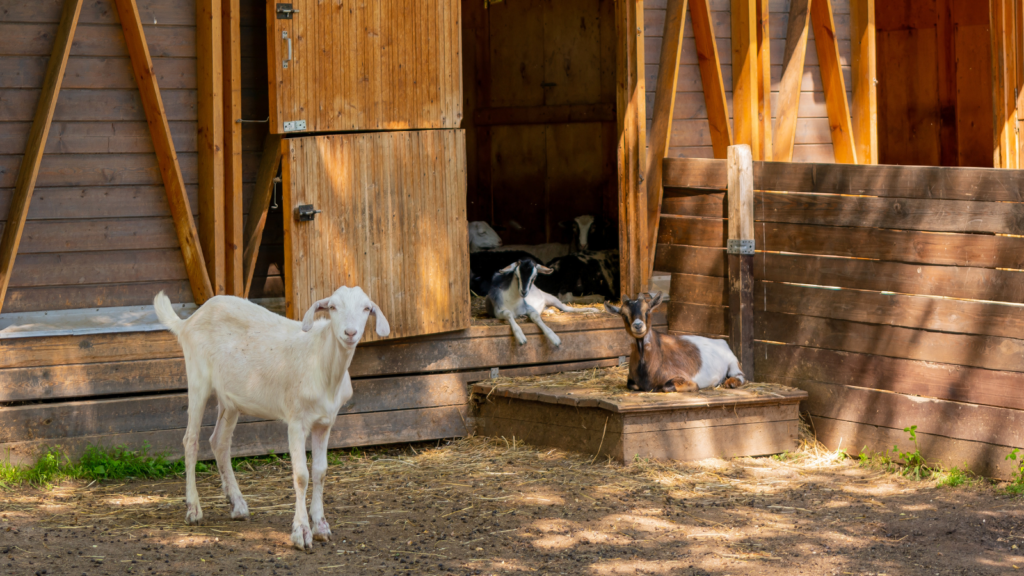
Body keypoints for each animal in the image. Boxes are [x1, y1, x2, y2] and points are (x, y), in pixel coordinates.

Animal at [151, 284, 387, 549]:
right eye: (333, 307)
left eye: (366, 308)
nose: (350, 332)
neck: (322, 361)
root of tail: (188, 321)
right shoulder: (296, 421)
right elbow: (301, 475)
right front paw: (301, 532)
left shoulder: (325, 423)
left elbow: (320, 471)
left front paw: (321, 526)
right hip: (197, 376)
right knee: (191, 441)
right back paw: (193, 510)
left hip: (231, 397)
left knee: (219, 442)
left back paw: (238, 505)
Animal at [606, 291, 745, 389]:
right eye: (623, 314)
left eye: (648, 310)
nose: (638, 325)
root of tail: (721, 341)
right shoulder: (631, 380)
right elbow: (631, 385)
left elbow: (667, 387)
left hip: (732, 362)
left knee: (740, 375)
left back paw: (731, 382)